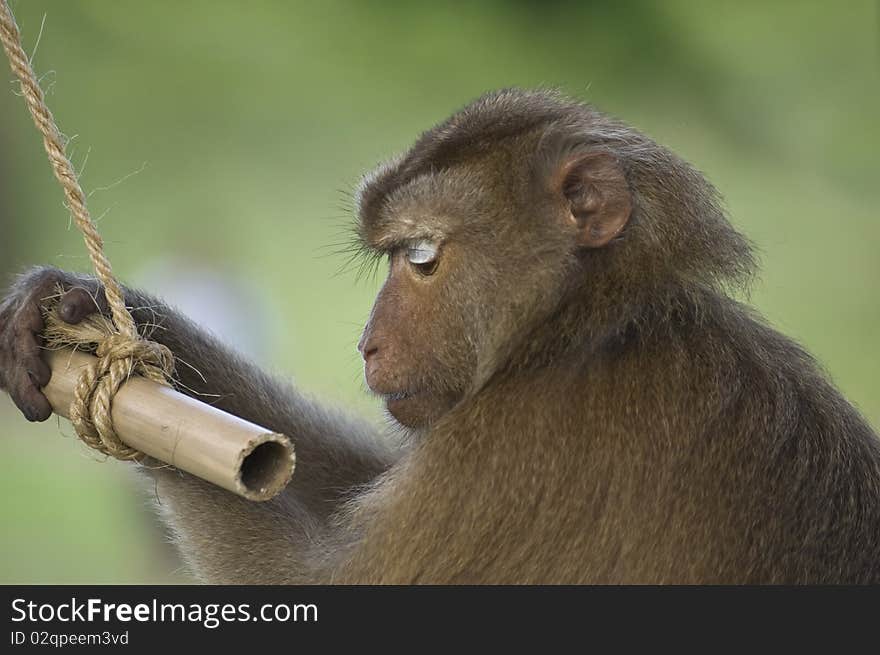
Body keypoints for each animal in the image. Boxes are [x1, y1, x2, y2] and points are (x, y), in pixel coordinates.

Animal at [1, 88, 880, 584]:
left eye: (420, 257)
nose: (367, 342)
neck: (587, 324)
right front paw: (96, 310)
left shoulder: (523, 443)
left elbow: (323, 582)